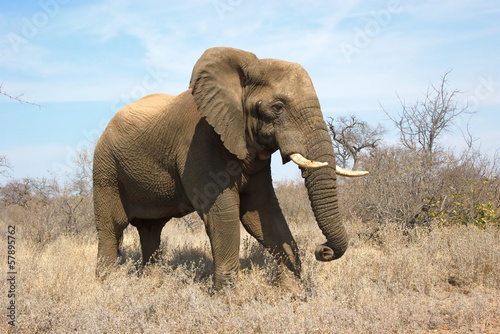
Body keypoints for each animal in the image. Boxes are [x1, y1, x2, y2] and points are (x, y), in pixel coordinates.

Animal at [94, 47, 368, 290]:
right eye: (277, 107)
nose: (323, 250)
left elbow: (262, 212)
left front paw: (291, 292)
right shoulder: (199, 143)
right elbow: (222, 213)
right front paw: (228, 299)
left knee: (151, 230)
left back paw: (152, 284)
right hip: (105, 168)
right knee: (111, 227)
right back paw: (106, 285)